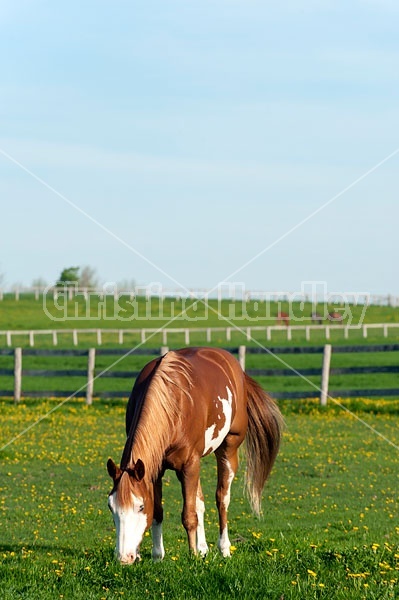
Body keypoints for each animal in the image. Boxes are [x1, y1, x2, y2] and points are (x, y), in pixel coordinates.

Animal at [107, 344, 284, 564]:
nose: (124, 557)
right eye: (111, 507)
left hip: (227, 449)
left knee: (222, 499)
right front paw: (158, 556)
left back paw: (223, 548)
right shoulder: (155, 469)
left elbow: (189, 515)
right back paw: (203, 548)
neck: (172, 403)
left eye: (139, 506)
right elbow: (159, 512)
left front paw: (192, 556)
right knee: (200, 503)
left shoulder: (188, 465)